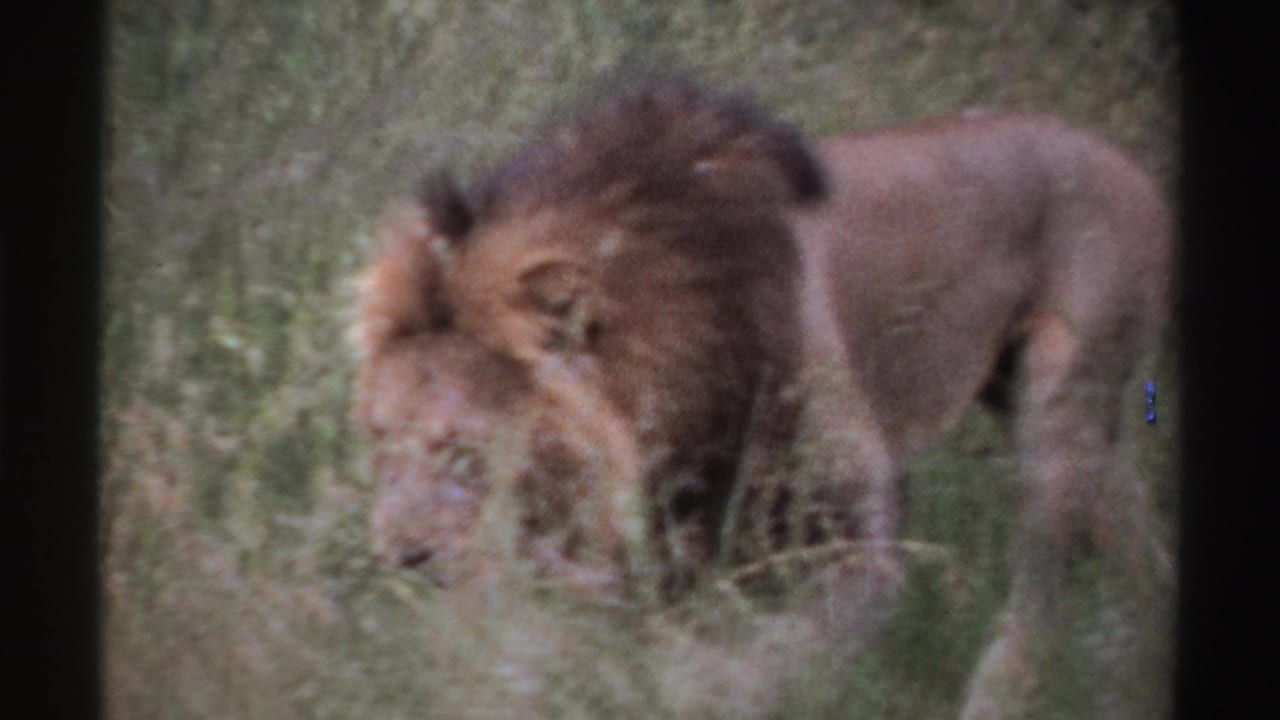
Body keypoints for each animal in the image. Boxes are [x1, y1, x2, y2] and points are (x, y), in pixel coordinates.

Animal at [351, 75, 1171, 716]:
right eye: (381, 441)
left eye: (465, 449)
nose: (402, 559)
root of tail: (1121, 158)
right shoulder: (667, 551)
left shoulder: (854, 545)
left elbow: (742, 676)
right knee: (1141, 545)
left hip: (1062, 400)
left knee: (1037, 604)